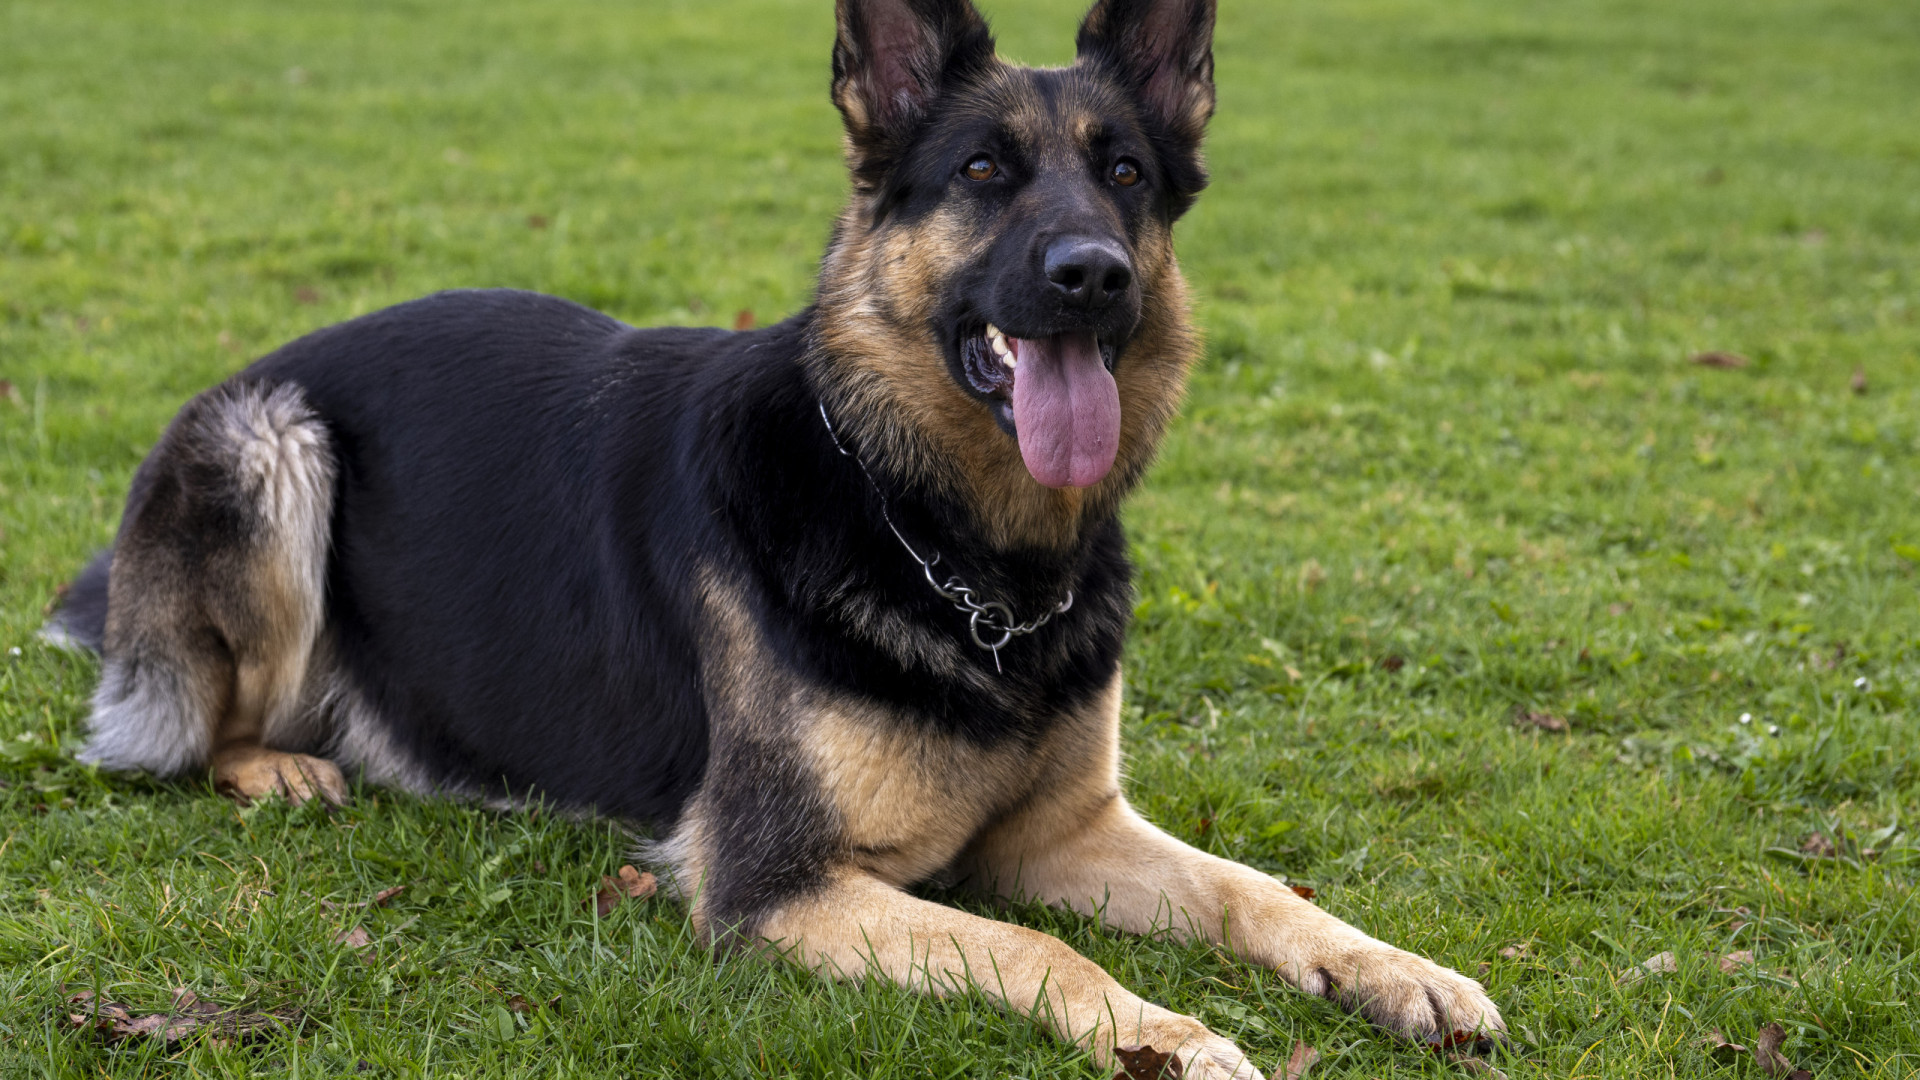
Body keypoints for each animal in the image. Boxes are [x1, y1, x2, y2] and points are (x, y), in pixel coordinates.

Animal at [48, 0, 1497, 1068]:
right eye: (983, 173)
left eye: (1126, 174)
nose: (1094, 274)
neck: (950, 546)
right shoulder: (781, 886)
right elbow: (1037, 948)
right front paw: (1172, 1038)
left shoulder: (1064, 834)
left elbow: (1257, 889)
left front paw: (1394, 971)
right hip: (275, 446)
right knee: (193, 727)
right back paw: (281, 765)